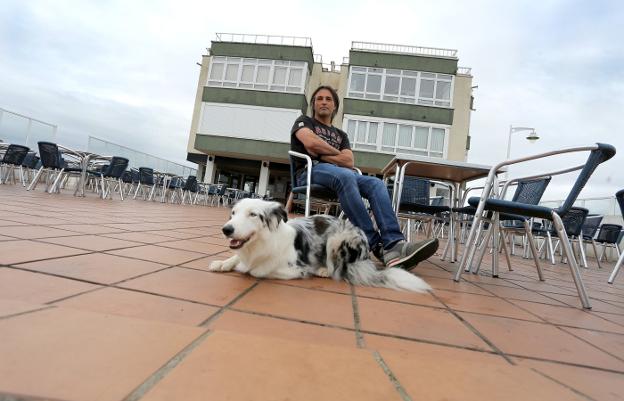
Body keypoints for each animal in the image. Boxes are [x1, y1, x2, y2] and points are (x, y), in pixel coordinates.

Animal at [207, 198, 432, 292]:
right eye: (233, 213)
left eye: (253, 214)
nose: (226, 229)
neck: (259, 245)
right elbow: (235, 258)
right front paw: (222, 263)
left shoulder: (295, 268)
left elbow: (256, 270)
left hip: (336, 238)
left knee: (336, 268)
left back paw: (323, 270)